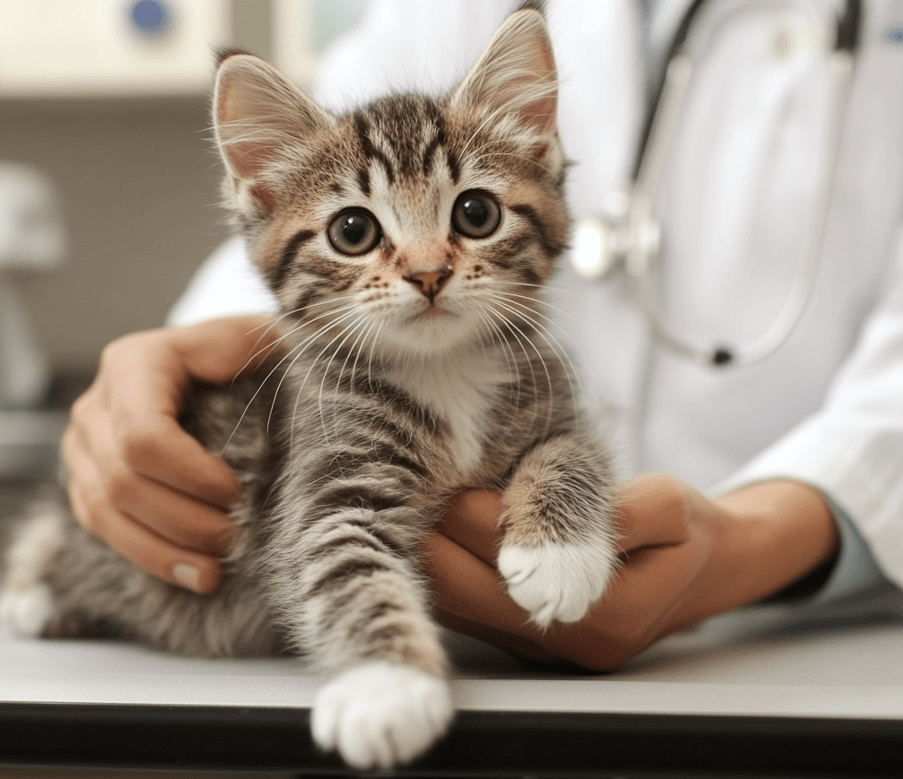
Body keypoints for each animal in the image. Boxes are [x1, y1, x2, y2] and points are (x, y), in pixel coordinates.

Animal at [0, 6, 620, 772]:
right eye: (353, 230)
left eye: (476, 214)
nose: (427, 273)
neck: (443, 369)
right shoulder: (321, 487)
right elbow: (349, 574)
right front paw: (387, 690)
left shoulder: (553, 396)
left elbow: (573, 452)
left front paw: (559, 557)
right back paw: (36, 599)